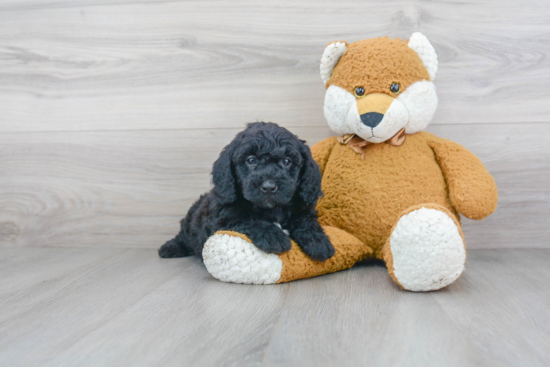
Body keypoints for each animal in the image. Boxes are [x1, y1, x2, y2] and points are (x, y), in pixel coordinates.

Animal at [157, 123, 334, 262]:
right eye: (251, 160)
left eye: (286, 161)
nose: (269, 186)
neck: (271, 209)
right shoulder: (221, 219)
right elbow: (247, 219)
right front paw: (274, 236)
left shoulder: (301, 208)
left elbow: (305, 221)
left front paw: (318, 241)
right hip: (190, 220)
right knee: (184, 235)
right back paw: (170, 247)